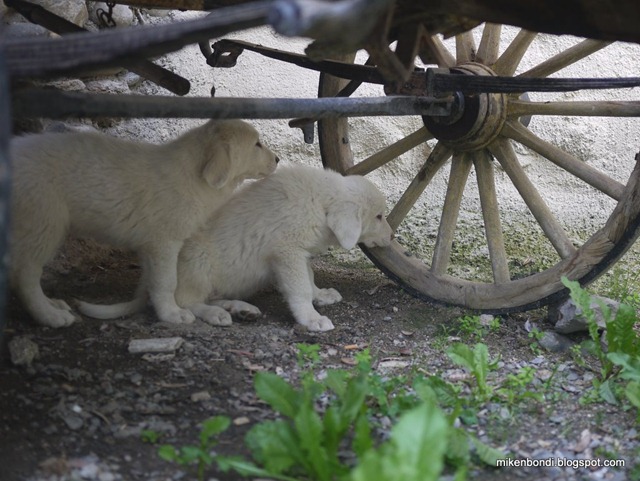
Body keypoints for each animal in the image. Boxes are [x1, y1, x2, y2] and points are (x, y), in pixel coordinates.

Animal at [10, 119, 279, 328]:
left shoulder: (151, 246)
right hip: (43, 221)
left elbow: (153, 283)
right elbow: (167, 282)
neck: (193, 175)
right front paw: (172, 314)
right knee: (26, 274)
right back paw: (49, 315)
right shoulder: (164, 242)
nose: (277, 159)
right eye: (257, 144)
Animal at [78, 165, 393, 331]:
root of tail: (146, 278)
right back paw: (215, 314)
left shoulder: (297, 252)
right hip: (198, 262)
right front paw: (311, 318)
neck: (320, 202)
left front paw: (321, 295)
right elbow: (300, 287)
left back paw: (238, 307)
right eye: (378, 216)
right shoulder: (286, 251)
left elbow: (310, 277)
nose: (391, 237)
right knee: (184, 300)